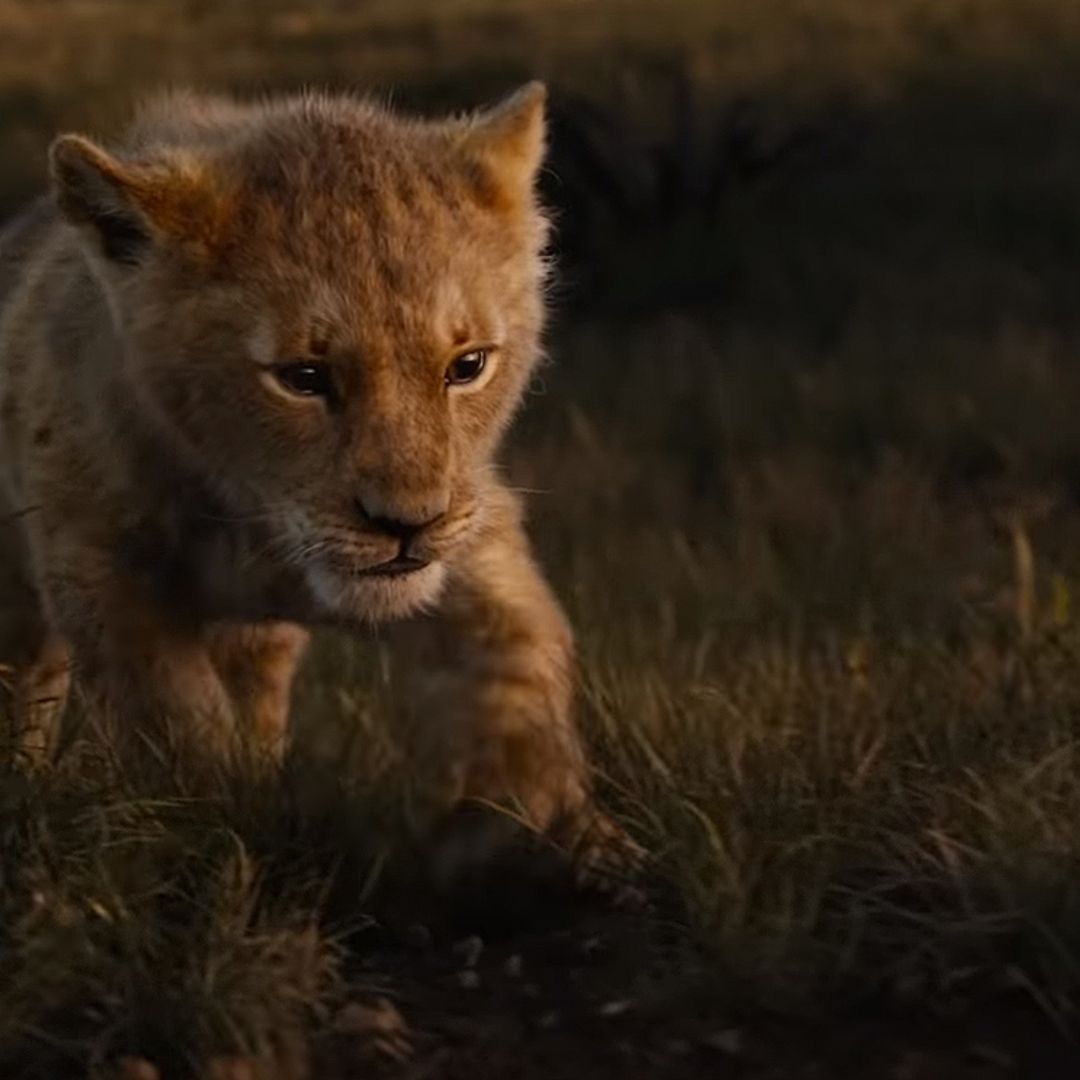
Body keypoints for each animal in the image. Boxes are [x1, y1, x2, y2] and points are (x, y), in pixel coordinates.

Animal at [0, 83, 634, 891]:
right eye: (303, 378)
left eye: (466, 366)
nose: (407, 525)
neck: (249, 517)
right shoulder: (95, 564)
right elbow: (174, 723)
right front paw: (220, 842)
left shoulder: (469, 533)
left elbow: (518, 658)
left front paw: (562, 838)